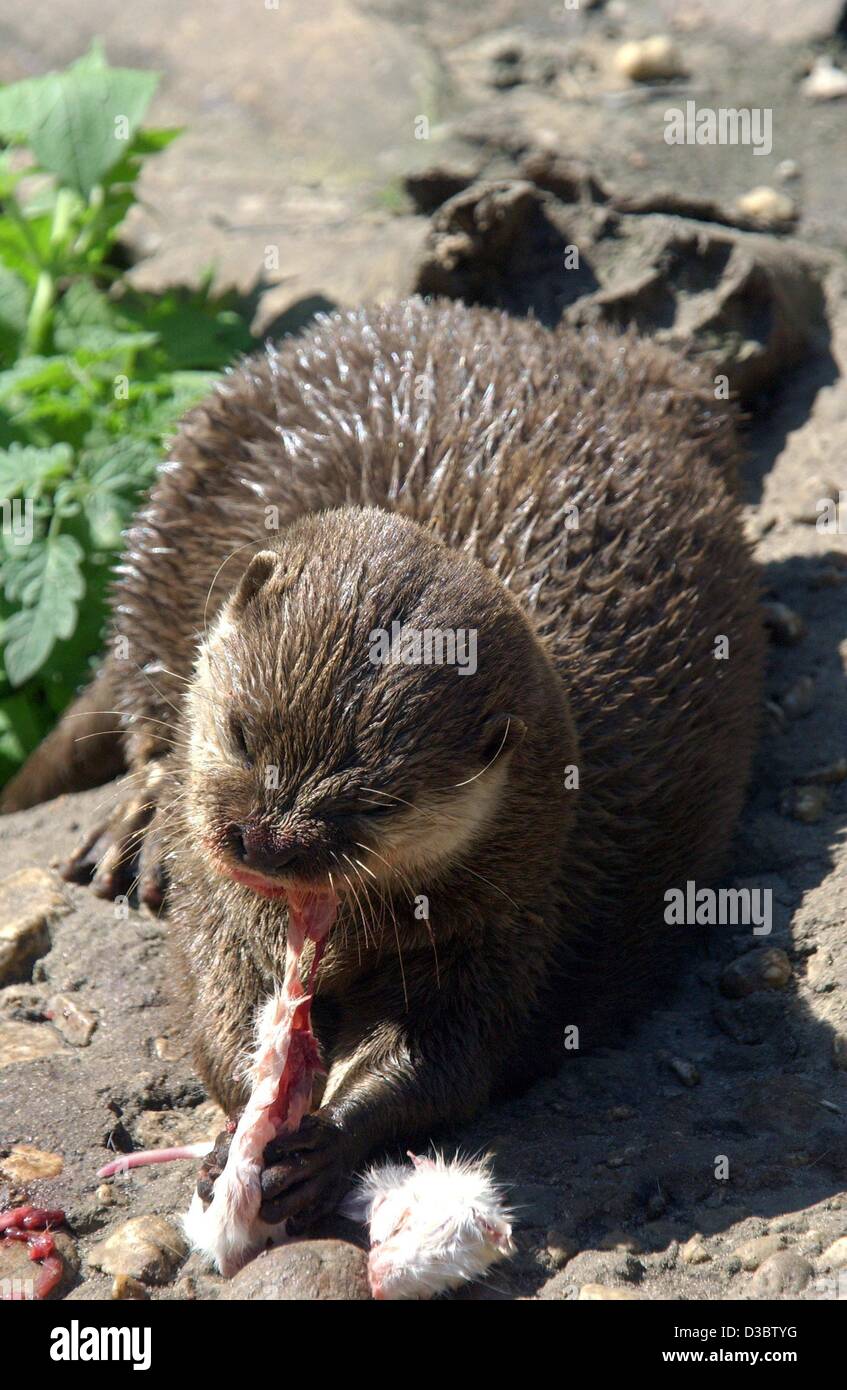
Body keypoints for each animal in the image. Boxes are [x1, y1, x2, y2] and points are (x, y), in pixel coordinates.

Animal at [1, 301, 767, 1228]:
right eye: (243, 734)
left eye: (374, 804)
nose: (264, 841)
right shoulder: (218, 901)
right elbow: (213, 1002)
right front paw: (240, 1119)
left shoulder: (515, 915)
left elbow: (453, 1059)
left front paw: (323, 1141)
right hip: (185, 490)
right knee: (140, 670)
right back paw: (133, 831)